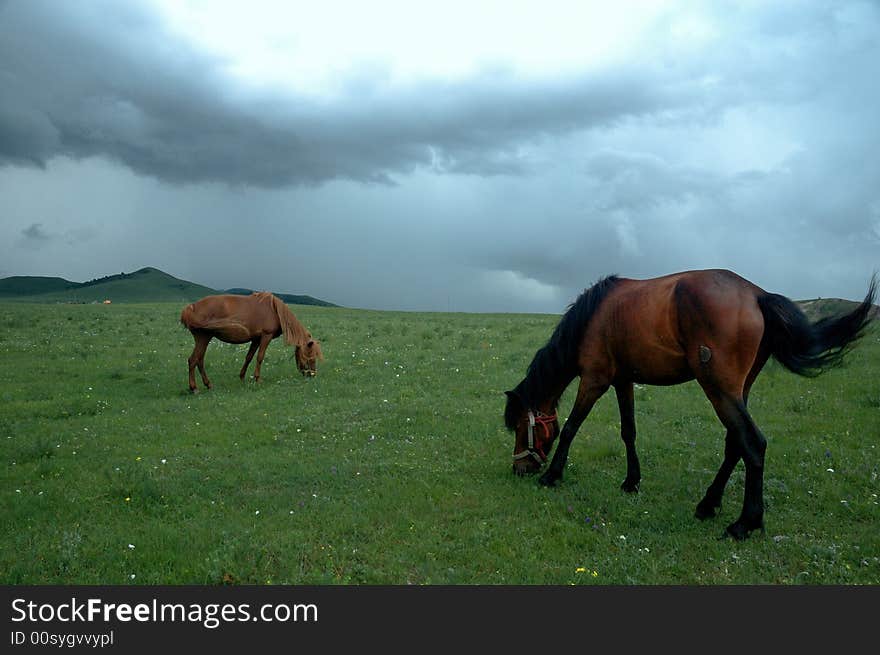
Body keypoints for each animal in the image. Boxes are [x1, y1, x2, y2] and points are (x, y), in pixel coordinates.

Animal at [180, 294, 324, 394]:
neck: (275, 311)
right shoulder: (266, 336)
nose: (312, 375)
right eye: (310, 356)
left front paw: (242, 377)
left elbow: (249, 357)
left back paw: (208, 384)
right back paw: (194, 388)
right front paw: (257, 379)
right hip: (203, 338)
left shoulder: (256, 339)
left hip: (204, 339)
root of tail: (191, 308)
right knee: (193, 360)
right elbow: (260, 357)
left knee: (199, 361)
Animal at [506, 268, 876, 540]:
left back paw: (744, 523)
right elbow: (628, 432)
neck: (594, 316)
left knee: (752, 443)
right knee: (735, 444)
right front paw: (631, 482)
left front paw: (552, 475)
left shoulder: (595, 380)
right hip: (737, 389)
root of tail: (756, 294)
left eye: (522, 427)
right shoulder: (623, 381)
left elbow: (571, 427)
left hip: (719, 388)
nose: (519, 469)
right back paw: (708, 504)